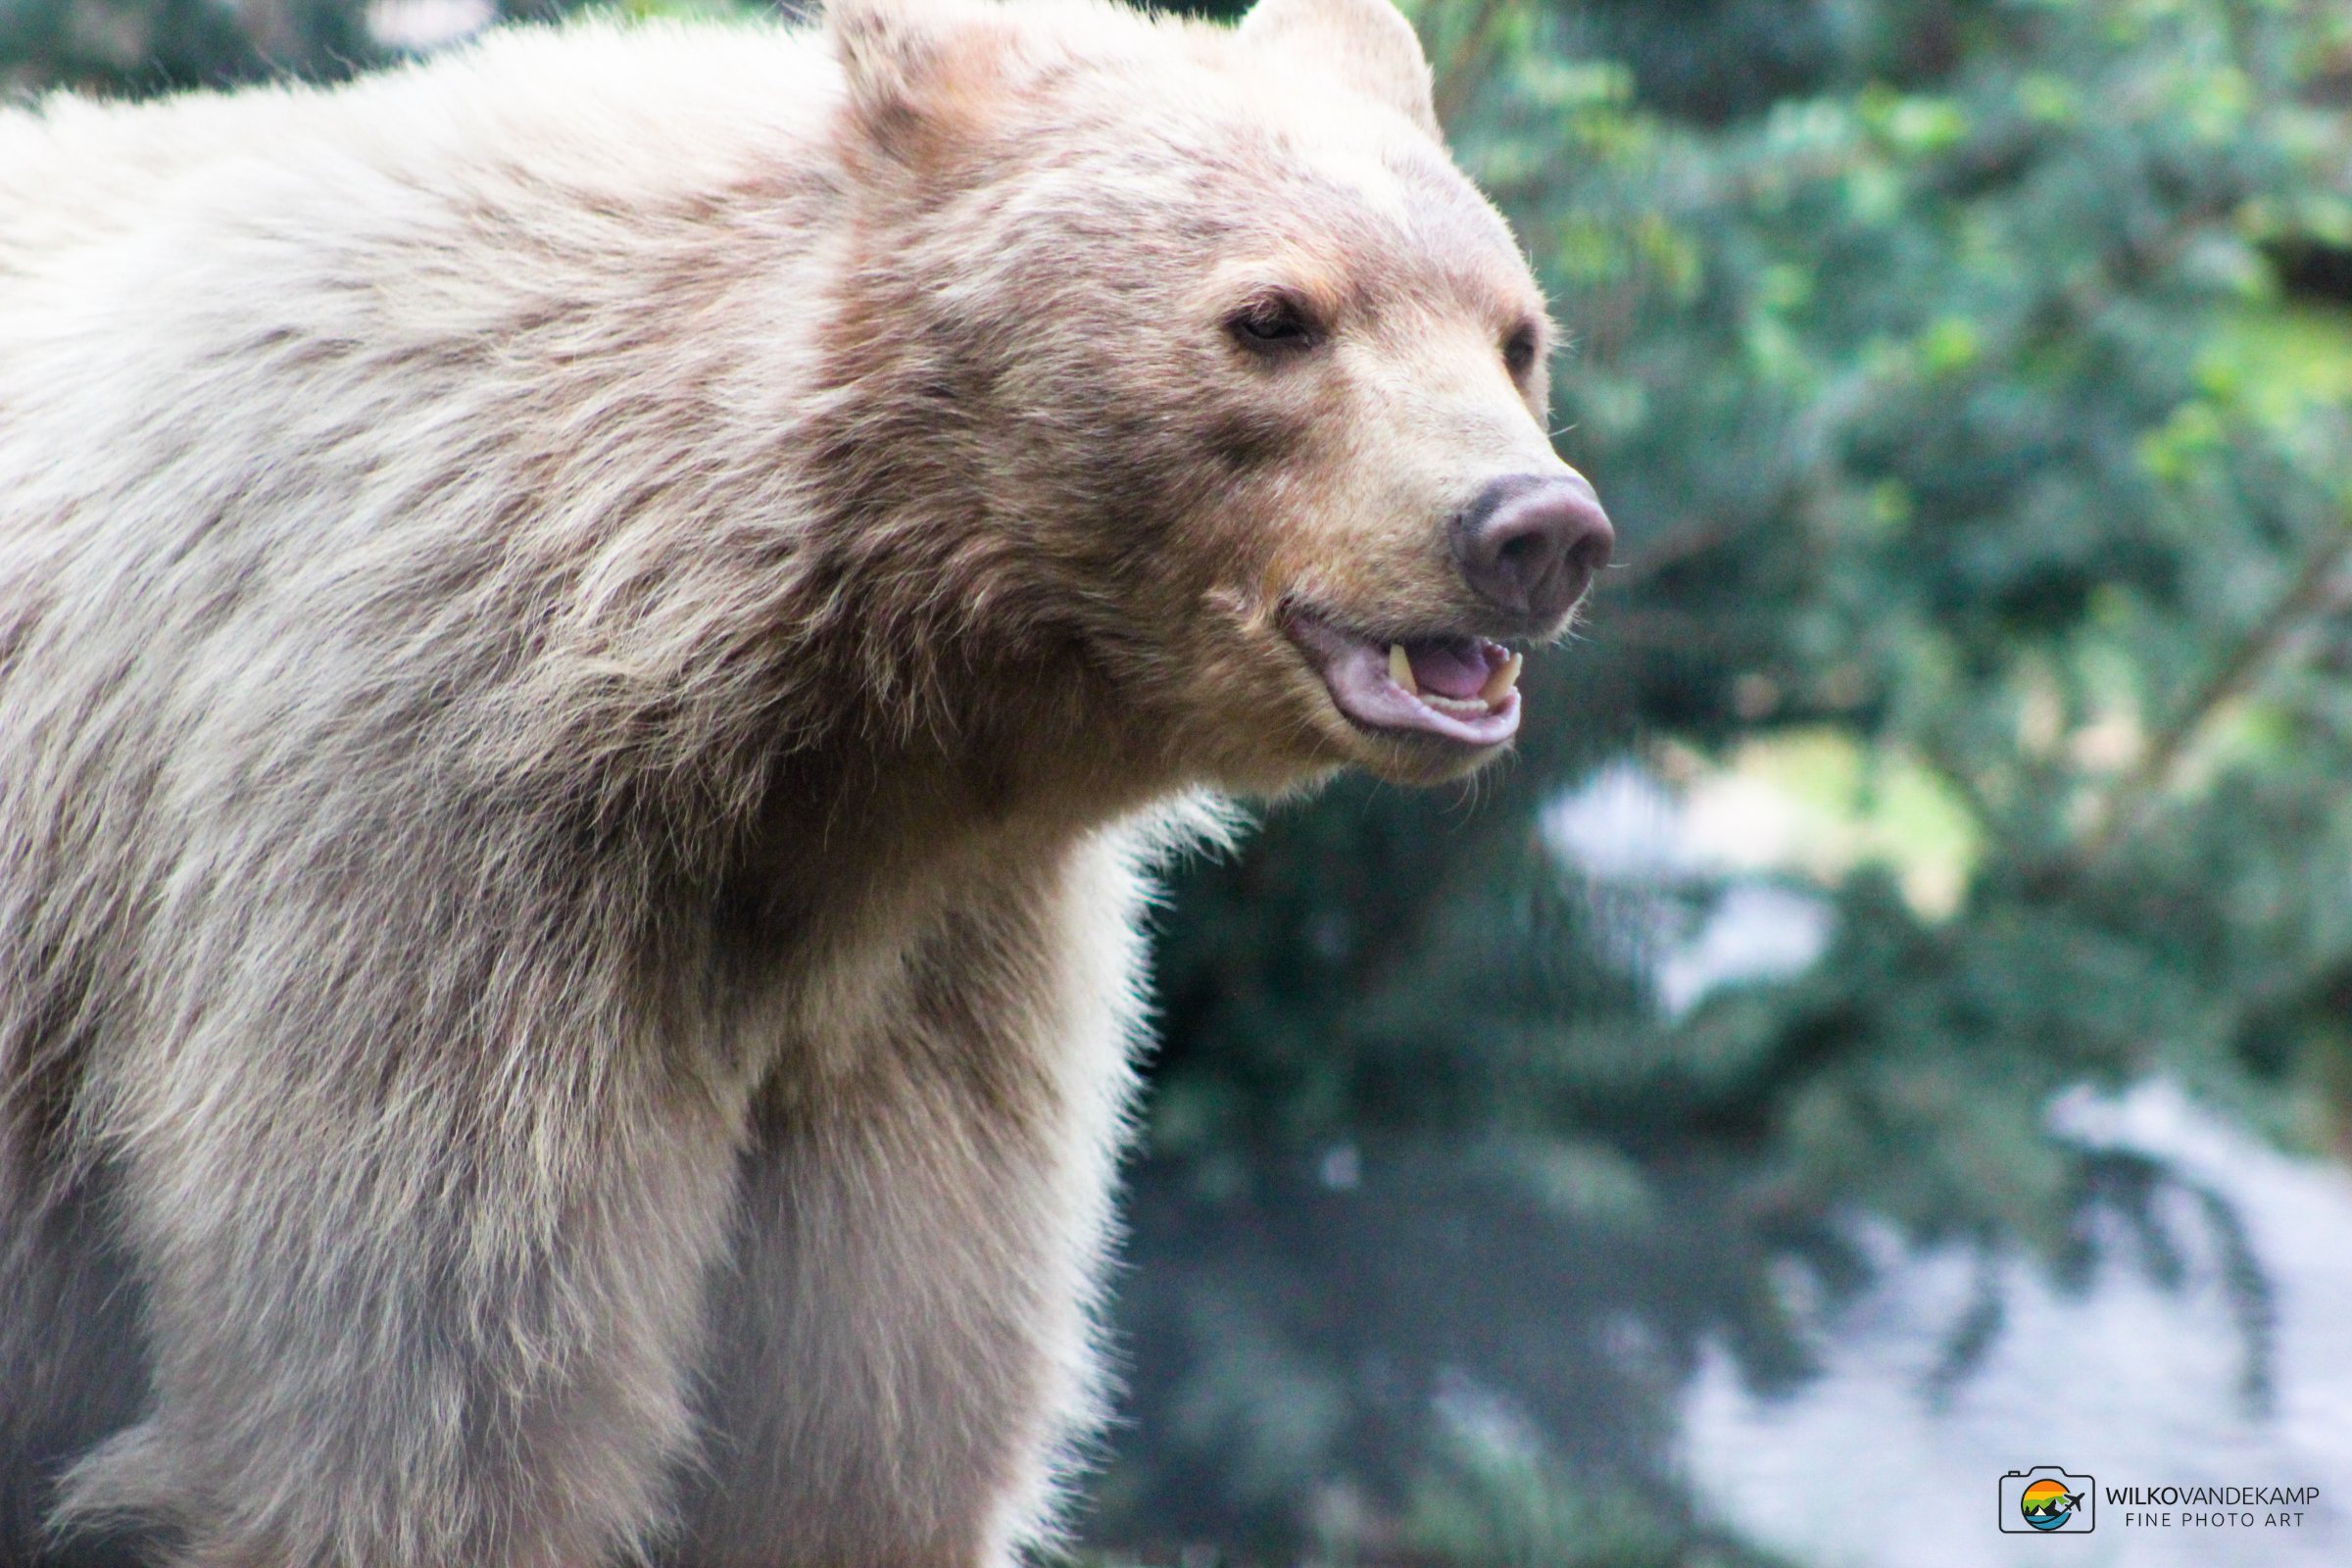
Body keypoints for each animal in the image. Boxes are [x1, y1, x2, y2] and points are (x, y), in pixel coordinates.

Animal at [0, 0, 1612, 1562]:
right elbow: (417, 1402)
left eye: (1516, 334)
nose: (1531, 527)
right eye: (1274, 316)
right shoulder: (420, 844)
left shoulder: (934, 988)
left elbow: (866, 1429)